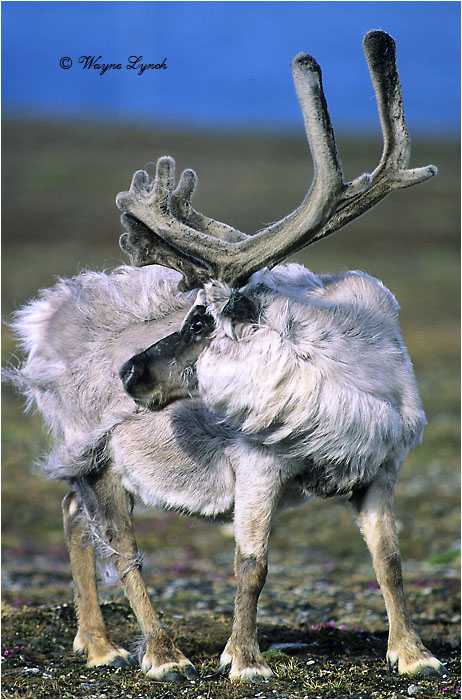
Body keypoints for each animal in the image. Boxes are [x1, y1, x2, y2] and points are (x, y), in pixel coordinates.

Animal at [8, 31, 446, 682]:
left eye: (199, 320)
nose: (128, 373)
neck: (341, 379)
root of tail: (44, 321)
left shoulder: (381, 468)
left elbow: (389, 561)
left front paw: (414, 653)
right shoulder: (259, 469)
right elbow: (251, 566)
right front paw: (244, 659)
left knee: (72, 516)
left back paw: (97, 643)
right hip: (95, 451)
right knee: (122, 547)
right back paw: (162, 654)